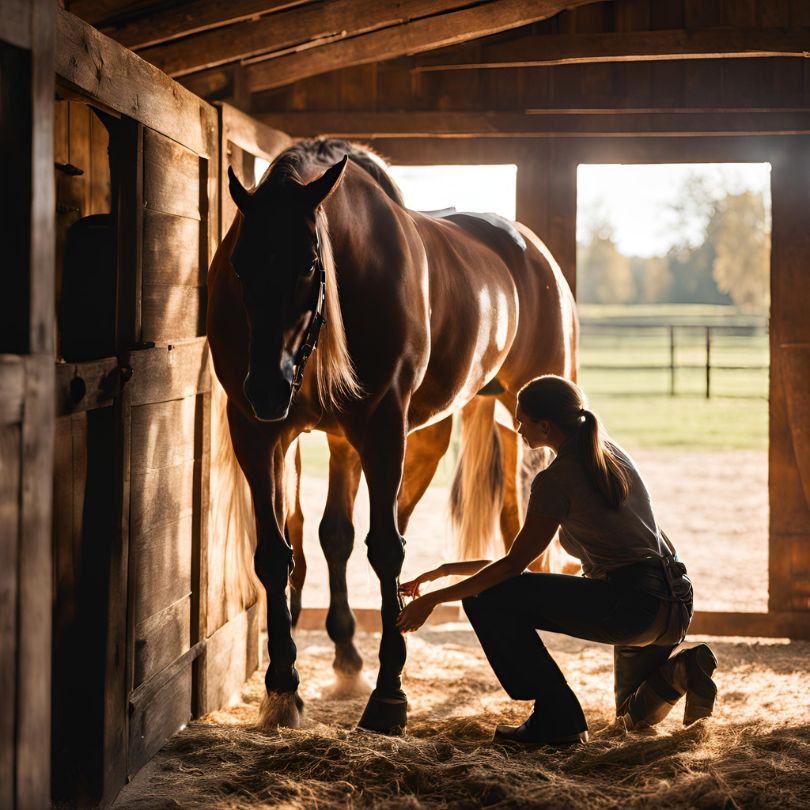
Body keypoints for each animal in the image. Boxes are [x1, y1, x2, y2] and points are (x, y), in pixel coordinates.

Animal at [207, 139, 576, 732]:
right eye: (240, 263)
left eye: (308, 264)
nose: (265, 386)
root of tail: (532, 250)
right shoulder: (262, 436)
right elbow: (283, 551)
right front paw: (285, 686)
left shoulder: (380, 429)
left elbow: (383, 550)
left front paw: (388, 695)